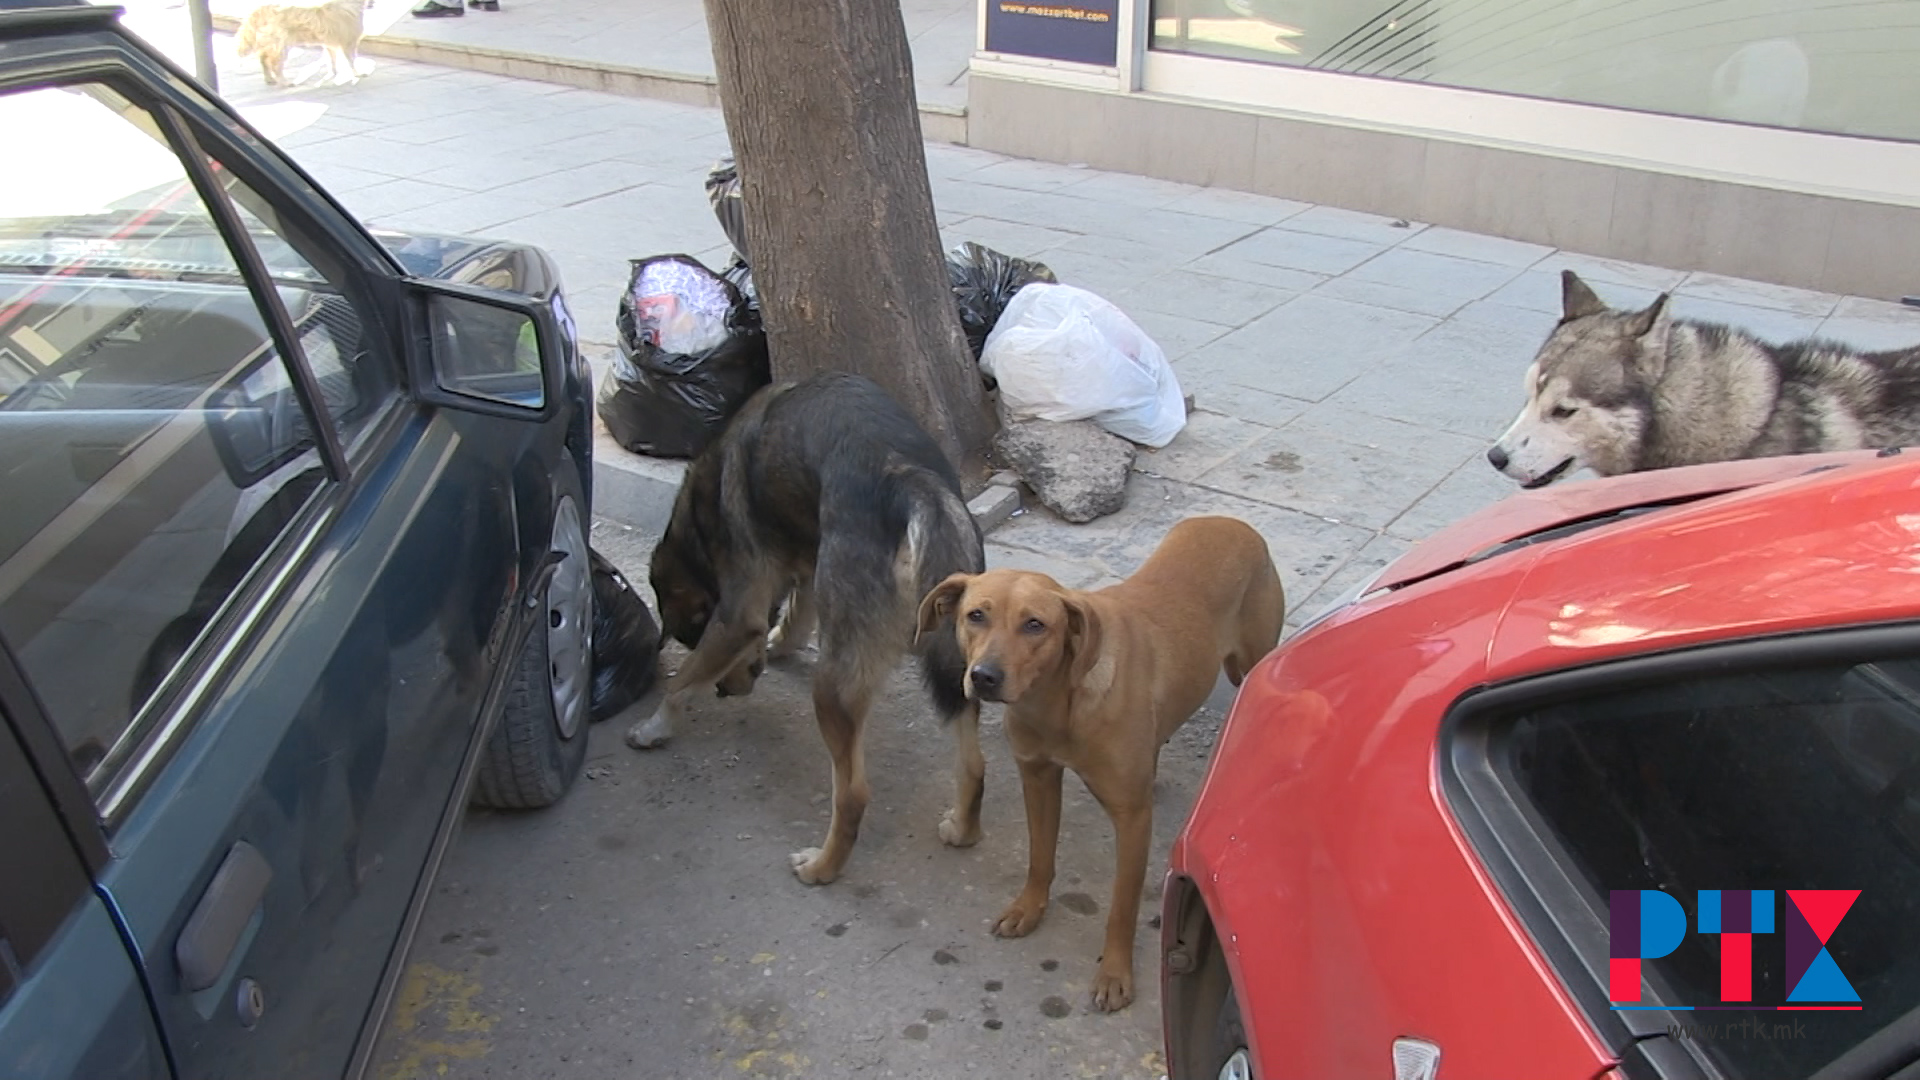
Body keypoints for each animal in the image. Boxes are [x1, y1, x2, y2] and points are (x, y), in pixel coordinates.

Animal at [234, 0, 364, 86]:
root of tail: (265, 7)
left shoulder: (330, 44)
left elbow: (332, 61)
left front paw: (333, 73)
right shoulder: (349, 42)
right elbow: (352, 60)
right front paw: (357, 73)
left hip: (270, 44)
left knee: (264, 59)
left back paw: (269, 78)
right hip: (281, 45)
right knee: (275, 64)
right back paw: (284, 82)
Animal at [629, 368, 990, 883]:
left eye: (692, 632)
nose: (726, 692)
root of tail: (910, 482)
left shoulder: (737, 613)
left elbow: (682, 681)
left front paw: (654, 727)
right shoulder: (803, 568)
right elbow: (795, 617)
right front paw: (779, 642)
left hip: (832, 688)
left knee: (853, 794)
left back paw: (821, 867)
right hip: (959, 671)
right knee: (974, 765)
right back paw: (962, 829)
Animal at [910, 518, 1282, 1006]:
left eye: (1035, 625)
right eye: (975, 616)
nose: (984, 677)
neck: (1056, 704)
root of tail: (1232, 522)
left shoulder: (1132, 818)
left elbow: (1121, 906)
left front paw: (1114, 973)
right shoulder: (1038, 778)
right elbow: (1040, 858)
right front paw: (1029, 908)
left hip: (1251, 663)